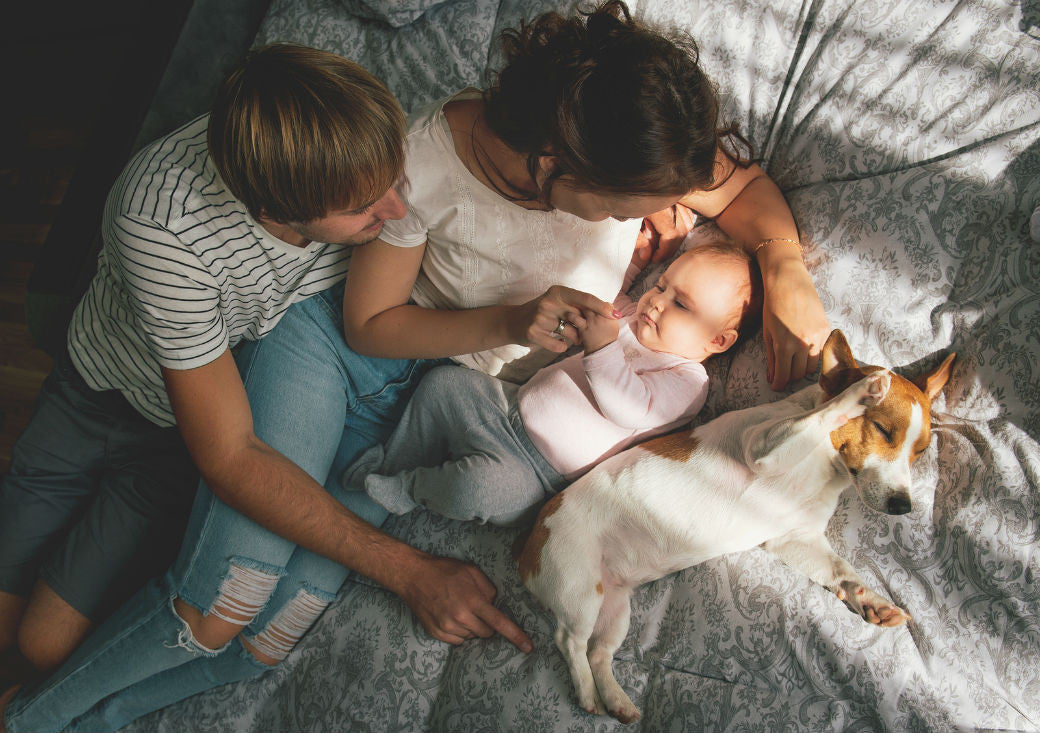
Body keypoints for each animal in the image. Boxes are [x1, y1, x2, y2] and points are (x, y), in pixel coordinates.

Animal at [515, 328, 952, 723]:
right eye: (882, 429)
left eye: (920, 451)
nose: (903, 506)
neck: (830, 467)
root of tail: (530, 540)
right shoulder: (764, 447)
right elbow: (823, 414)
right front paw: (861, 392)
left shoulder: (795, 539)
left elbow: (841, 571)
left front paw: (870, 599)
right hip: (579, 591)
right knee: (568, 642)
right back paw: (587, 692)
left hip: (615, 606)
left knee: (598, 653)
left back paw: (615, 700)